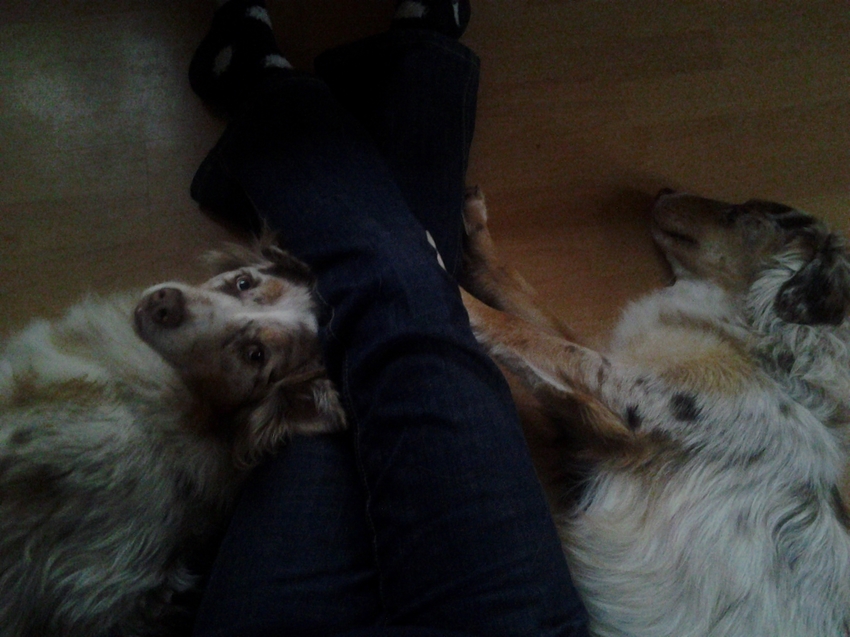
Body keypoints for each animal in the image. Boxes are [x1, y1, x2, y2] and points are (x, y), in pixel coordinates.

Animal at [459, 188, 850, 637]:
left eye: (741, 214)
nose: (663, 190)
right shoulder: (599, 411)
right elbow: (520, 293)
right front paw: (478, 237)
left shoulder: (626, 402)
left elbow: (523, 332)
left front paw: (458, 297)